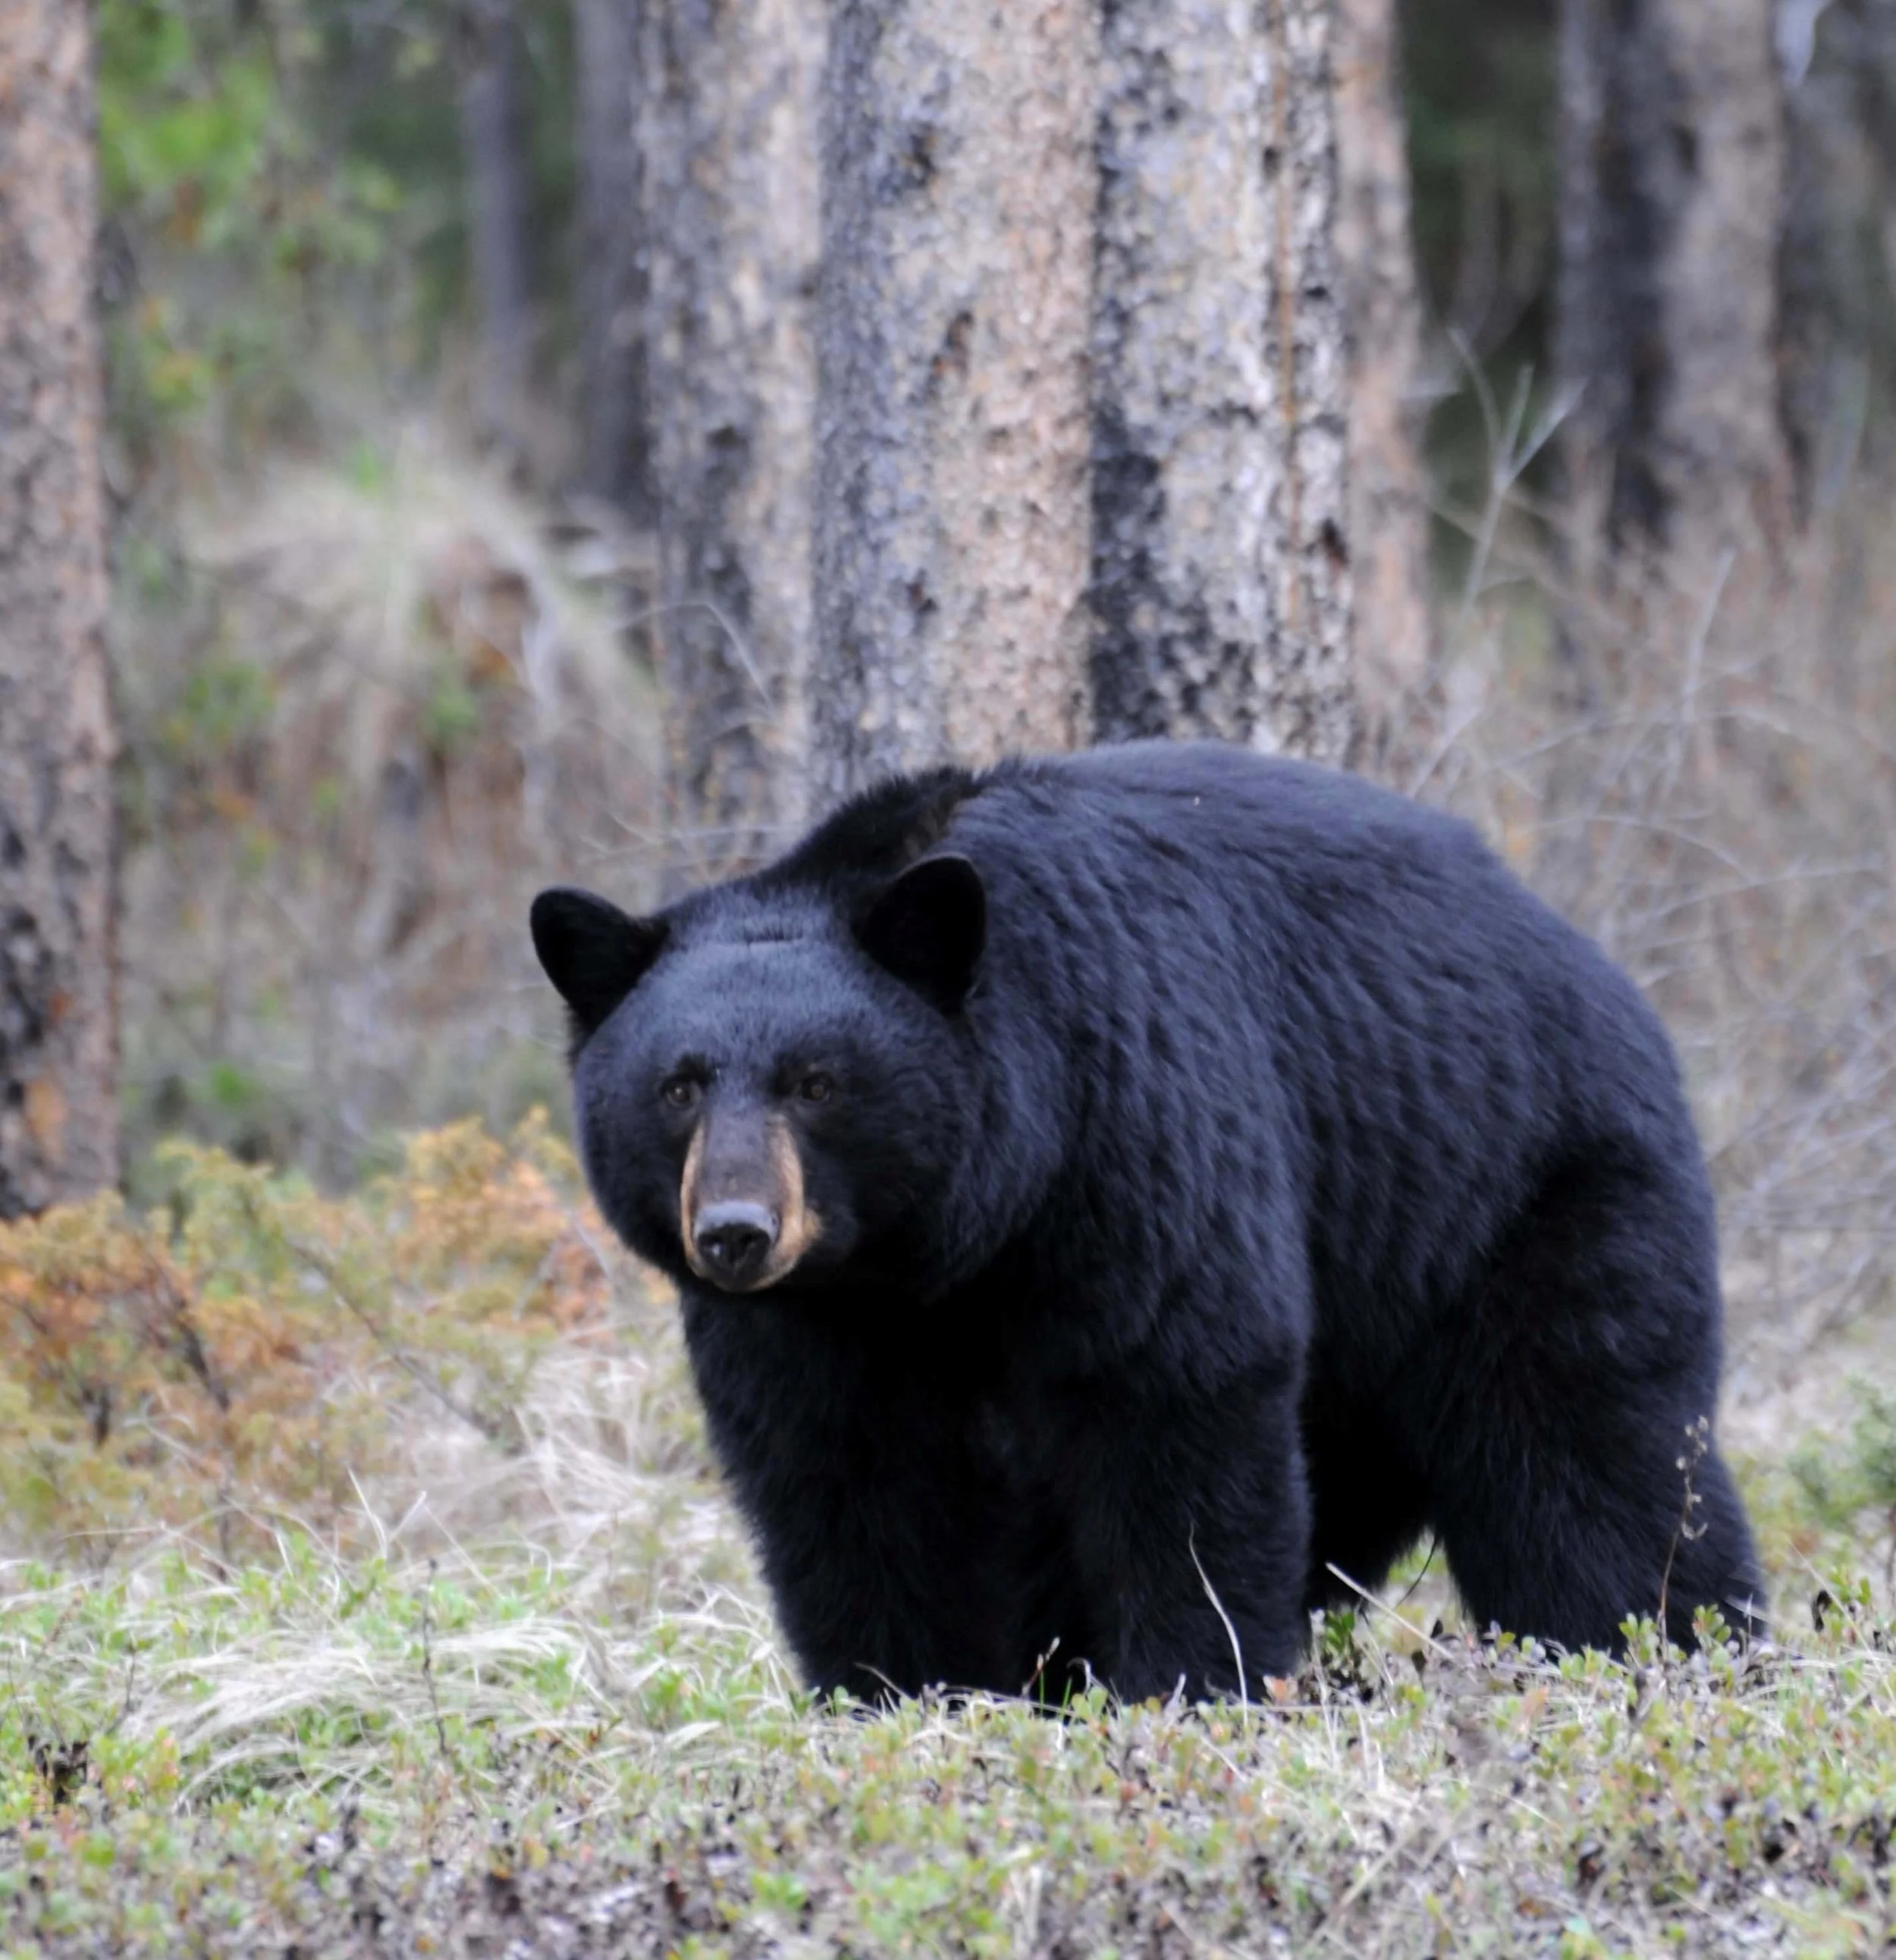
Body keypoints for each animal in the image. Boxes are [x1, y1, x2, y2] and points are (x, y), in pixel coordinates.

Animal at [530, 741, 1764, 1704]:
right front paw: (900, 1691)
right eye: (678, 1086)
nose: (737, 1230)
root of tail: (1598, 968)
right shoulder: (815, 1321)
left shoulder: (1132, 1127)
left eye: (817, 1081)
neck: (944, 1248)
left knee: (1587, 1459)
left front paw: (1191, 1684)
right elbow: (846, 1476)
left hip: (1509, 1196)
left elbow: (1178, 1402)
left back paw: (1673, 1651)